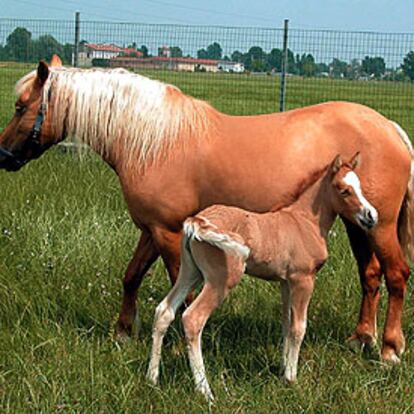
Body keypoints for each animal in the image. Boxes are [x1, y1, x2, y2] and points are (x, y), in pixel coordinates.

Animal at [0, 56, 412, 364]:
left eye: (20, 107)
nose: (3, 155)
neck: (155, 141)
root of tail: (390, 127)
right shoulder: (151, 229)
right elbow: (131, 276)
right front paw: (122, 333)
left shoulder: (168, 233)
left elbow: (178, 293)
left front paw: (177, 346)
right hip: (359, 223)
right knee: (370, 276)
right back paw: (361, 338)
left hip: (379, 225)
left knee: (396, 275)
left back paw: (389, 349)